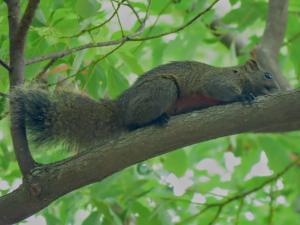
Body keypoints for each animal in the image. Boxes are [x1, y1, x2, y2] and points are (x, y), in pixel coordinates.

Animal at [11, 59, 278, 149]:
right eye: (267, 75)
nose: (277, 88)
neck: (240, 75)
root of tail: (120, 108)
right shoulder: (219, 80)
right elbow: (219, 89)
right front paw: (242, 97)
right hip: (162, 90)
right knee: (134, 120)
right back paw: (156, 118)